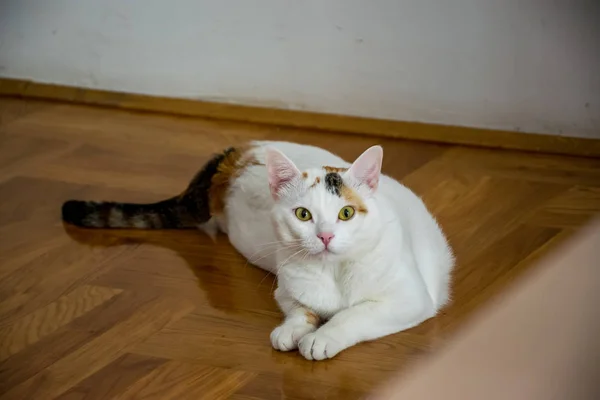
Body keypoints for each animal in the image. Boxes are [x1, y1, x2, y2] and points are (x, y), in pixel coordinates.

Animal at [62, 141, 454, 362]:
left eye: (346, 213)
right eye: (303, 214)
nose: (325, 236)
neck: (333, 273)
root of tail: (235, 154)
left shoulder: (410, 299)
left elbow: (355, 314)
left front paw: (323, 336)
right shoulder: (286, 289)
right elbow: (300, 310)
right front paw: (292, 330)